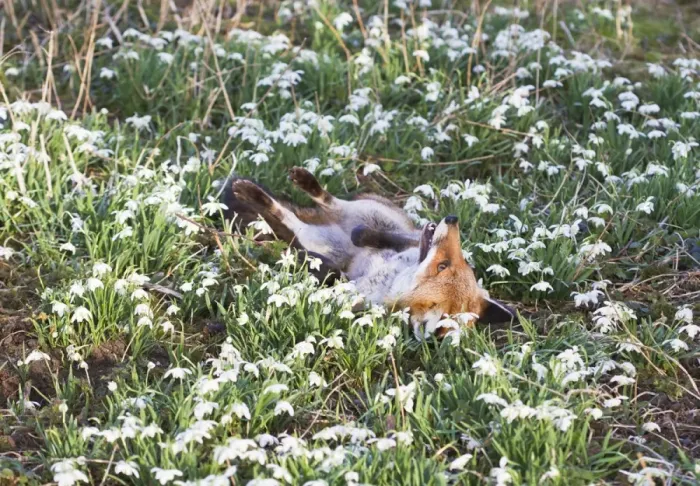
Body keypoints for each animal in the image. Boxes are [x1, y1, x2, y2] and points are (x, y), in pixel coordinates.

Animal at [222, 167, 515, 337]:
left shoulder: (349, 293)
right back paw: (301, 183)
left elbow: (330, 275)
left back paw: (255, 197)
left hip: (316, 238)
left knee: (290, 220)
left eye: (442, 266)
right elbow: (377, 237)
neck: (391, 280)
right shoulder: (406, 243)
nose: (452, 220)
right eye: (458, 264)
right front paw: (367, 236)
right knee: (327, 203)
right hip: (365, 212)